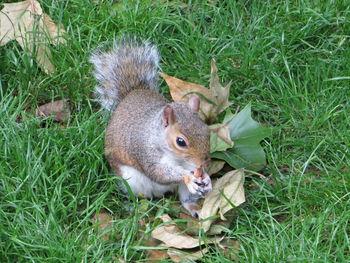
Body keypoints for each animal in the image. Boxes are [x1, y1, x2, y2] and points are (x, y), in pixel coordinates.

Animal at [90, 39, 211, 219]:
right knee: (141, 197)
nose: (204, 162)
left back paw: (194, 207)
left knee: (185, 199)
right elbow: (158, 172)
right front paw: (188, 177)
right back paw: (133, 208)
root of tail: (132, 94)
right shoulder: (144, 151)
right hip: (131, 181)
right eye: (180, 142)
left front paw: (207, 178)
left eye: (208, 131)